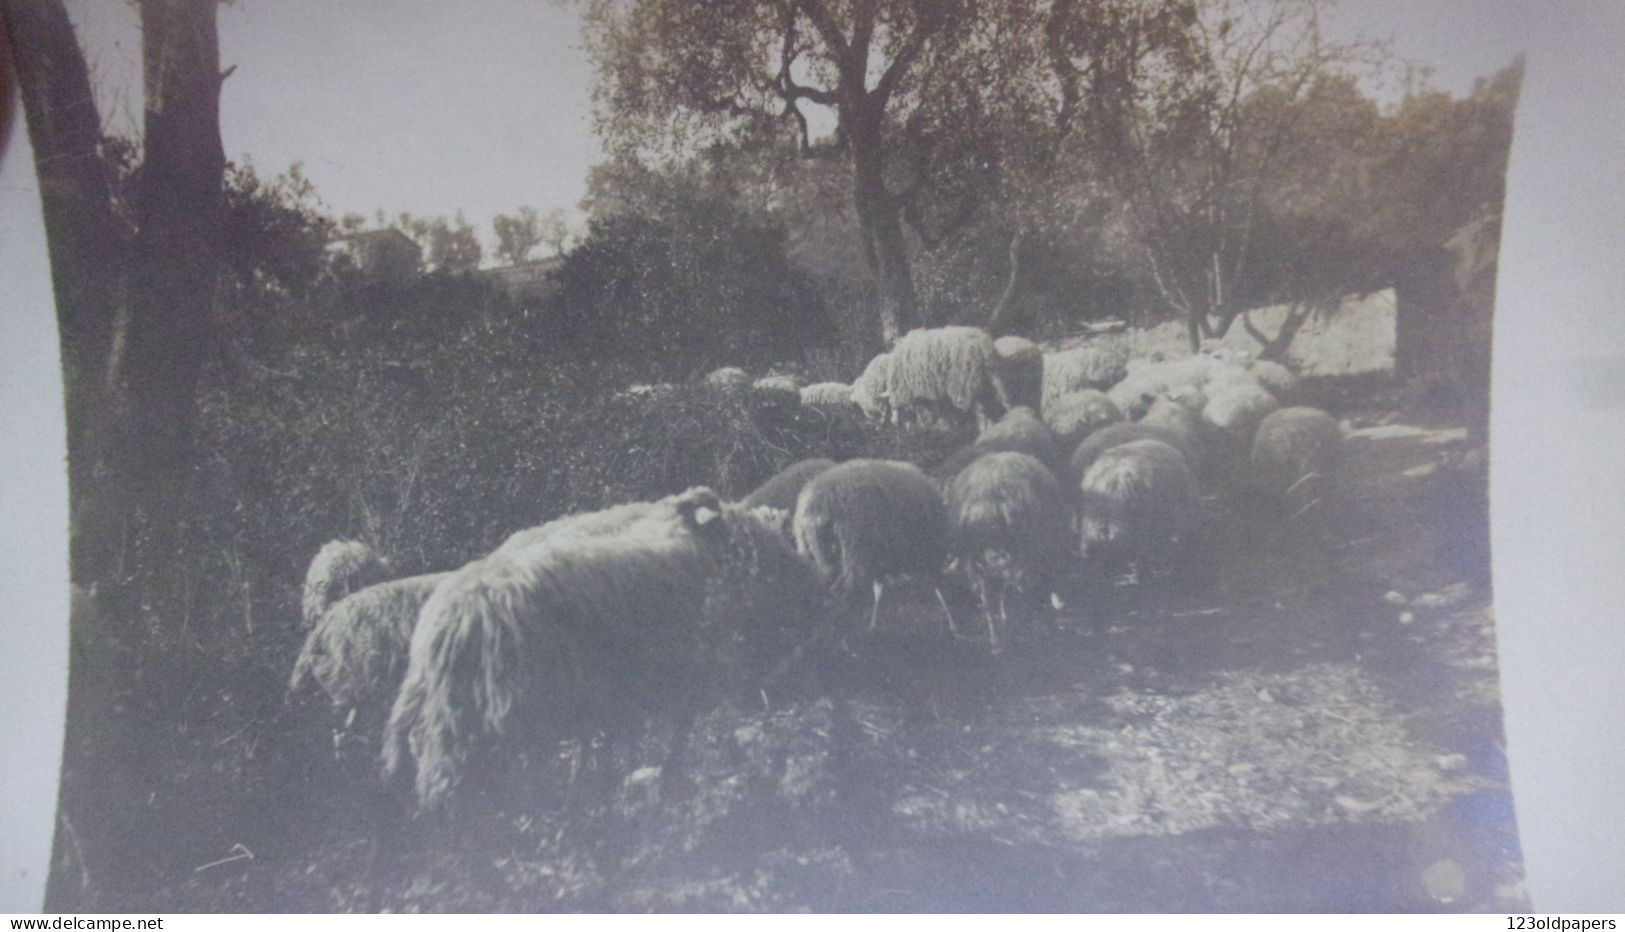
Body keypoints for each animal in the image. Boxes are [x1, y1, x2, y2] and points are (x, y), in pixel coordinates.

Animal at [789, 457, 949, 633]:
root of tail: (820, 501)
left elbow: (878, 588)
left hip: (813, 547)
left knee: (827, 579)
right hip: (854, 548)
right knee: (847, 584)